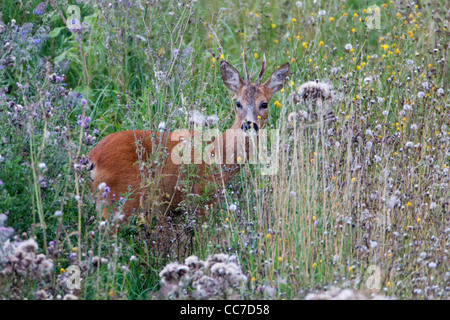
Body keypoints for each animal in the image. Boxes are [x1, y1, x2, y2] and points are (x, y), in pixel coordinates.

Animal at [88, 53, 290, 221]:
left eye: (264, 104)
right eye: (238, 103)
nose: (249, 125)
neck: (219, 153)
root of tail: (92, 157)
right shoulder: (202, 197)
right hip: (122, 198)